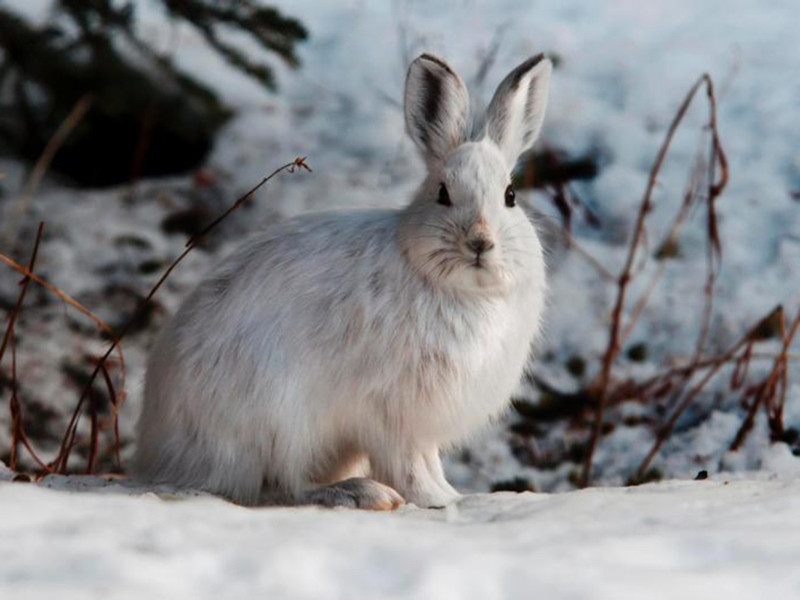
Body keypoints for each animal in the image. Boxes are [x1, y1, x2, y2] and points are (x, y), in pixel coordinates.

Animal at [133, 52, 551, 509]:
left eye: (510, 196)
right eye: (443, 194)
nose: (480, 242)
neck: (461, 290)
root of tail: (162, 453)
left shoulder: (418, 425)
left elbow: (429, 461)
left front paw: (451, 495)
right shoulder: (393, 413)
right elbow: (409, 464)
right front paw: (435, 500)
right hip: (278, 420)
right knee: (280, 486)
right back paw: (359, 493)